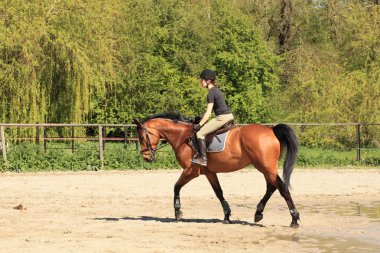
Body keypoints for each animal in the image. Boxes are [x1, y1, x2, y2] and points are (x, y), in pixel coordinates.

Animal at [134, 112, 300, 227]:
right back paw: (258, 213)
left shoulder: (191, 171)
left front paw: (177, 212)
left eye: (141, 137)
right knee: (272, 187)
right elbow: (219, 192)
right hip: (265, 168)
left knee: (282, 188)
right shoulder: (209, 172)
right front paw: (227, 216)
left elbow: (176, 187)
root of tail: (271, 130)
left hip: (266, 167)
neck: (182, 137)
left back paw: (294, 219)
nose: (147, 158)